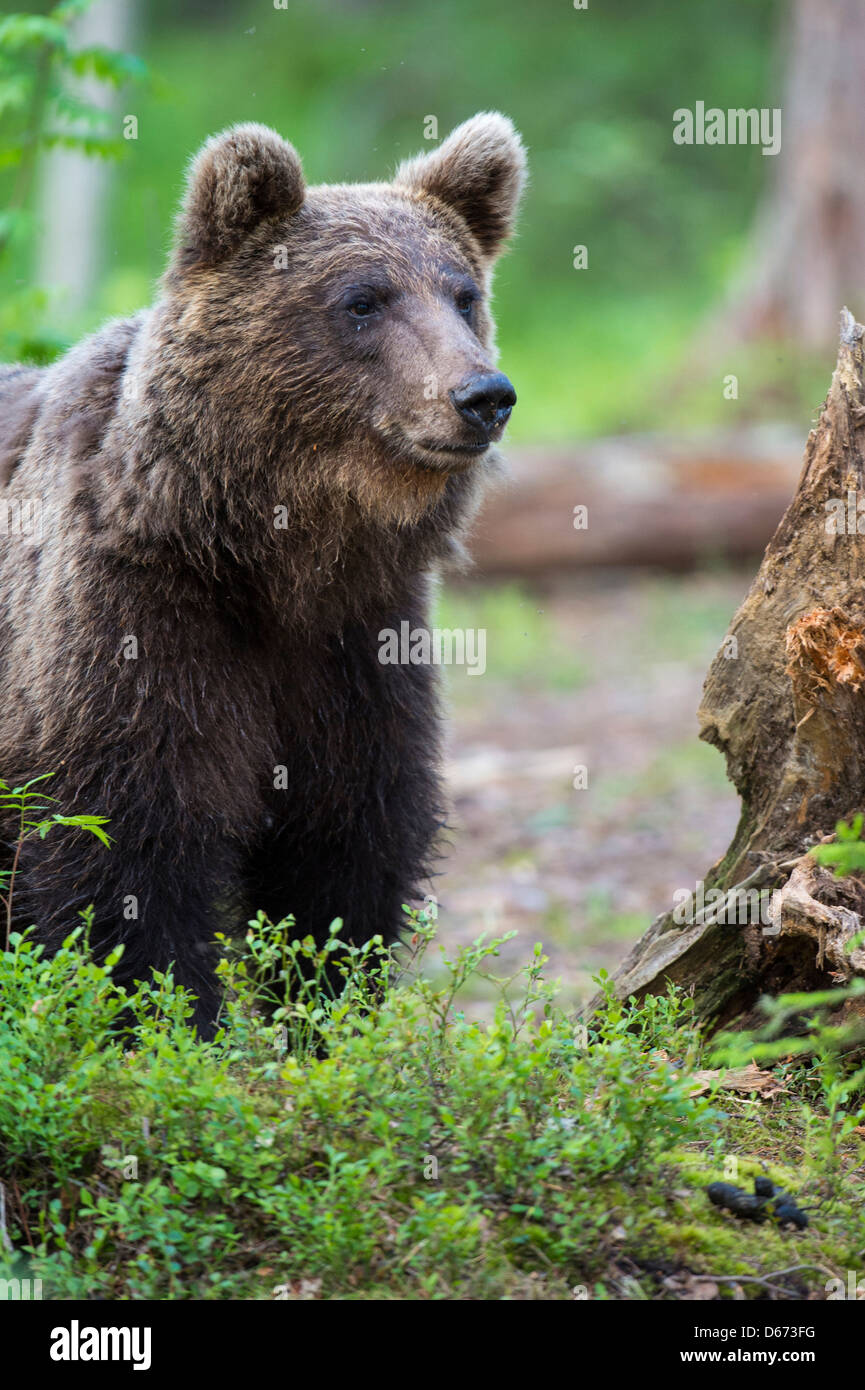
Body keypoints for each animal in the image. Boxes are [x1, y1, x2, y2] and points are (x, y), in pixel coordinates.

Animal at [0, 113, 526, 1034]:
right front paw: (171, 1028)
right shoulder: (130, 626)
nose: (481, 394)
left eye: (463, 294)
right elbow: (128, 852)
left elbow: (342, 849)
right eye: (362, 300)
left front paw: (325, 1015)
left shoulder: (355, 645)